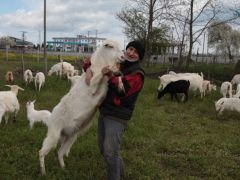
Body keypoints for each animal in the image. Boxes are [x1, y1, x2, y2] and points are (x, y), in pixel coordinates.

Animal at [39, 39, 124, 174]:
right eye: (111, 46)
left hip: (71, 137)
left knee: (60, 152)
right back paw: (43, 172)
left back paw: (64, 169)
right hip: (53, 135)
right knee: (41, 152)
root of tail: (50, 118)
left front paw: (120, 83)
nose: (123, 56)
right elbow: (99, 76)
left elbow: (118, 76)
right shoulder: (93, 86)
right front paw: (110, 70)